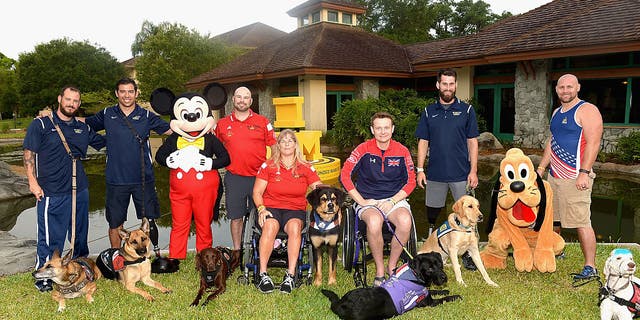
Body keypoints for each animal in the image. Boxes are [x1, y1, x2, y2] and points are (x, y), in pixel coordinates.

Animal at [322, 252, 462, 320]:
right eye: (430, 269)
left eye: (440, 265)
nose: (445, 277)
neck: (413, 274)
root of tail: (341, 303)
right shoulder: (428, 303)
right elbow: (443, 299)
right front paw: (455, 296)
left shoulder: (426, 292)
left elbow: (432, 290)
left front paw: (445, 290)